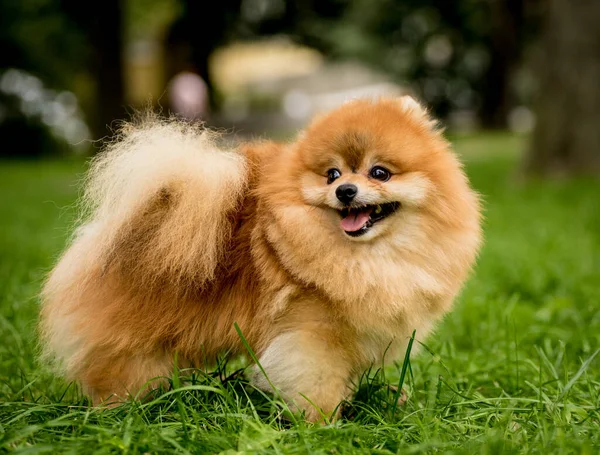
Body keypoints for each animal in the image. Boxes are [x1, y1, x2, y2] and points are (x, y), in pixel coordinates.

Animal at [39, 97, 482, 424]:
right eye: (332, 174)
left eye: (380, 173)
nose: (346, 191)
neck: (368, 256)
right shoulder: (311, 337)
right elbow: (316, 385)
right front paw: (326, 427)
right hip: (136, 344)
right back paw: (124, 416)